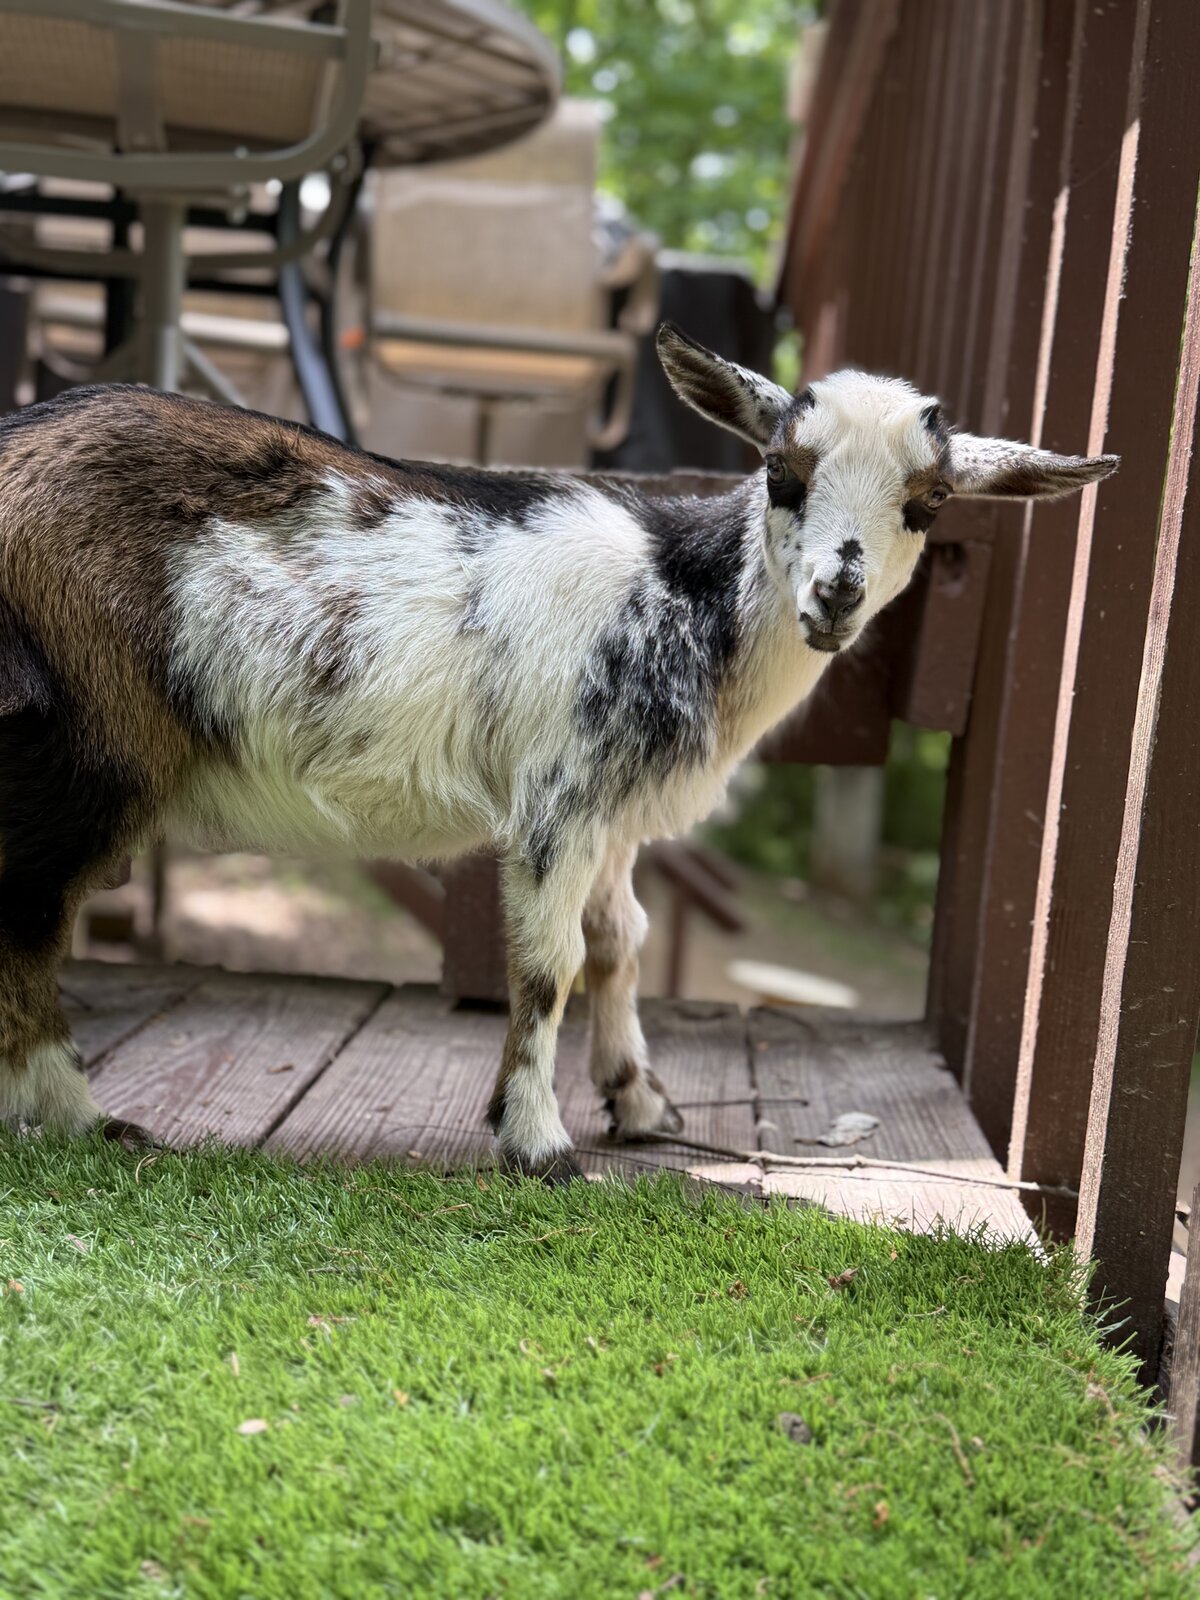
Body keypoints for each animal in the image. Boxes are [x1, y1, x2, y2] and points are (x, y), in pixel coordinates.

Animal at [0, 323, 1116, 1178]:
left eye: (929, 505)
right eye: (782, 474)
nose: (836, 593)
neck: (681, 596)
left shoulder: (615, 813)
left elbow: (622, 938)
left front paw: (640, 1102)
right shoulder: (561, 797)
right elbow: (550, 963)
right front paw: (536, 1142)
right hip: (93, 744)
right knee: (29, 912)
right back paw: (82, 1115)